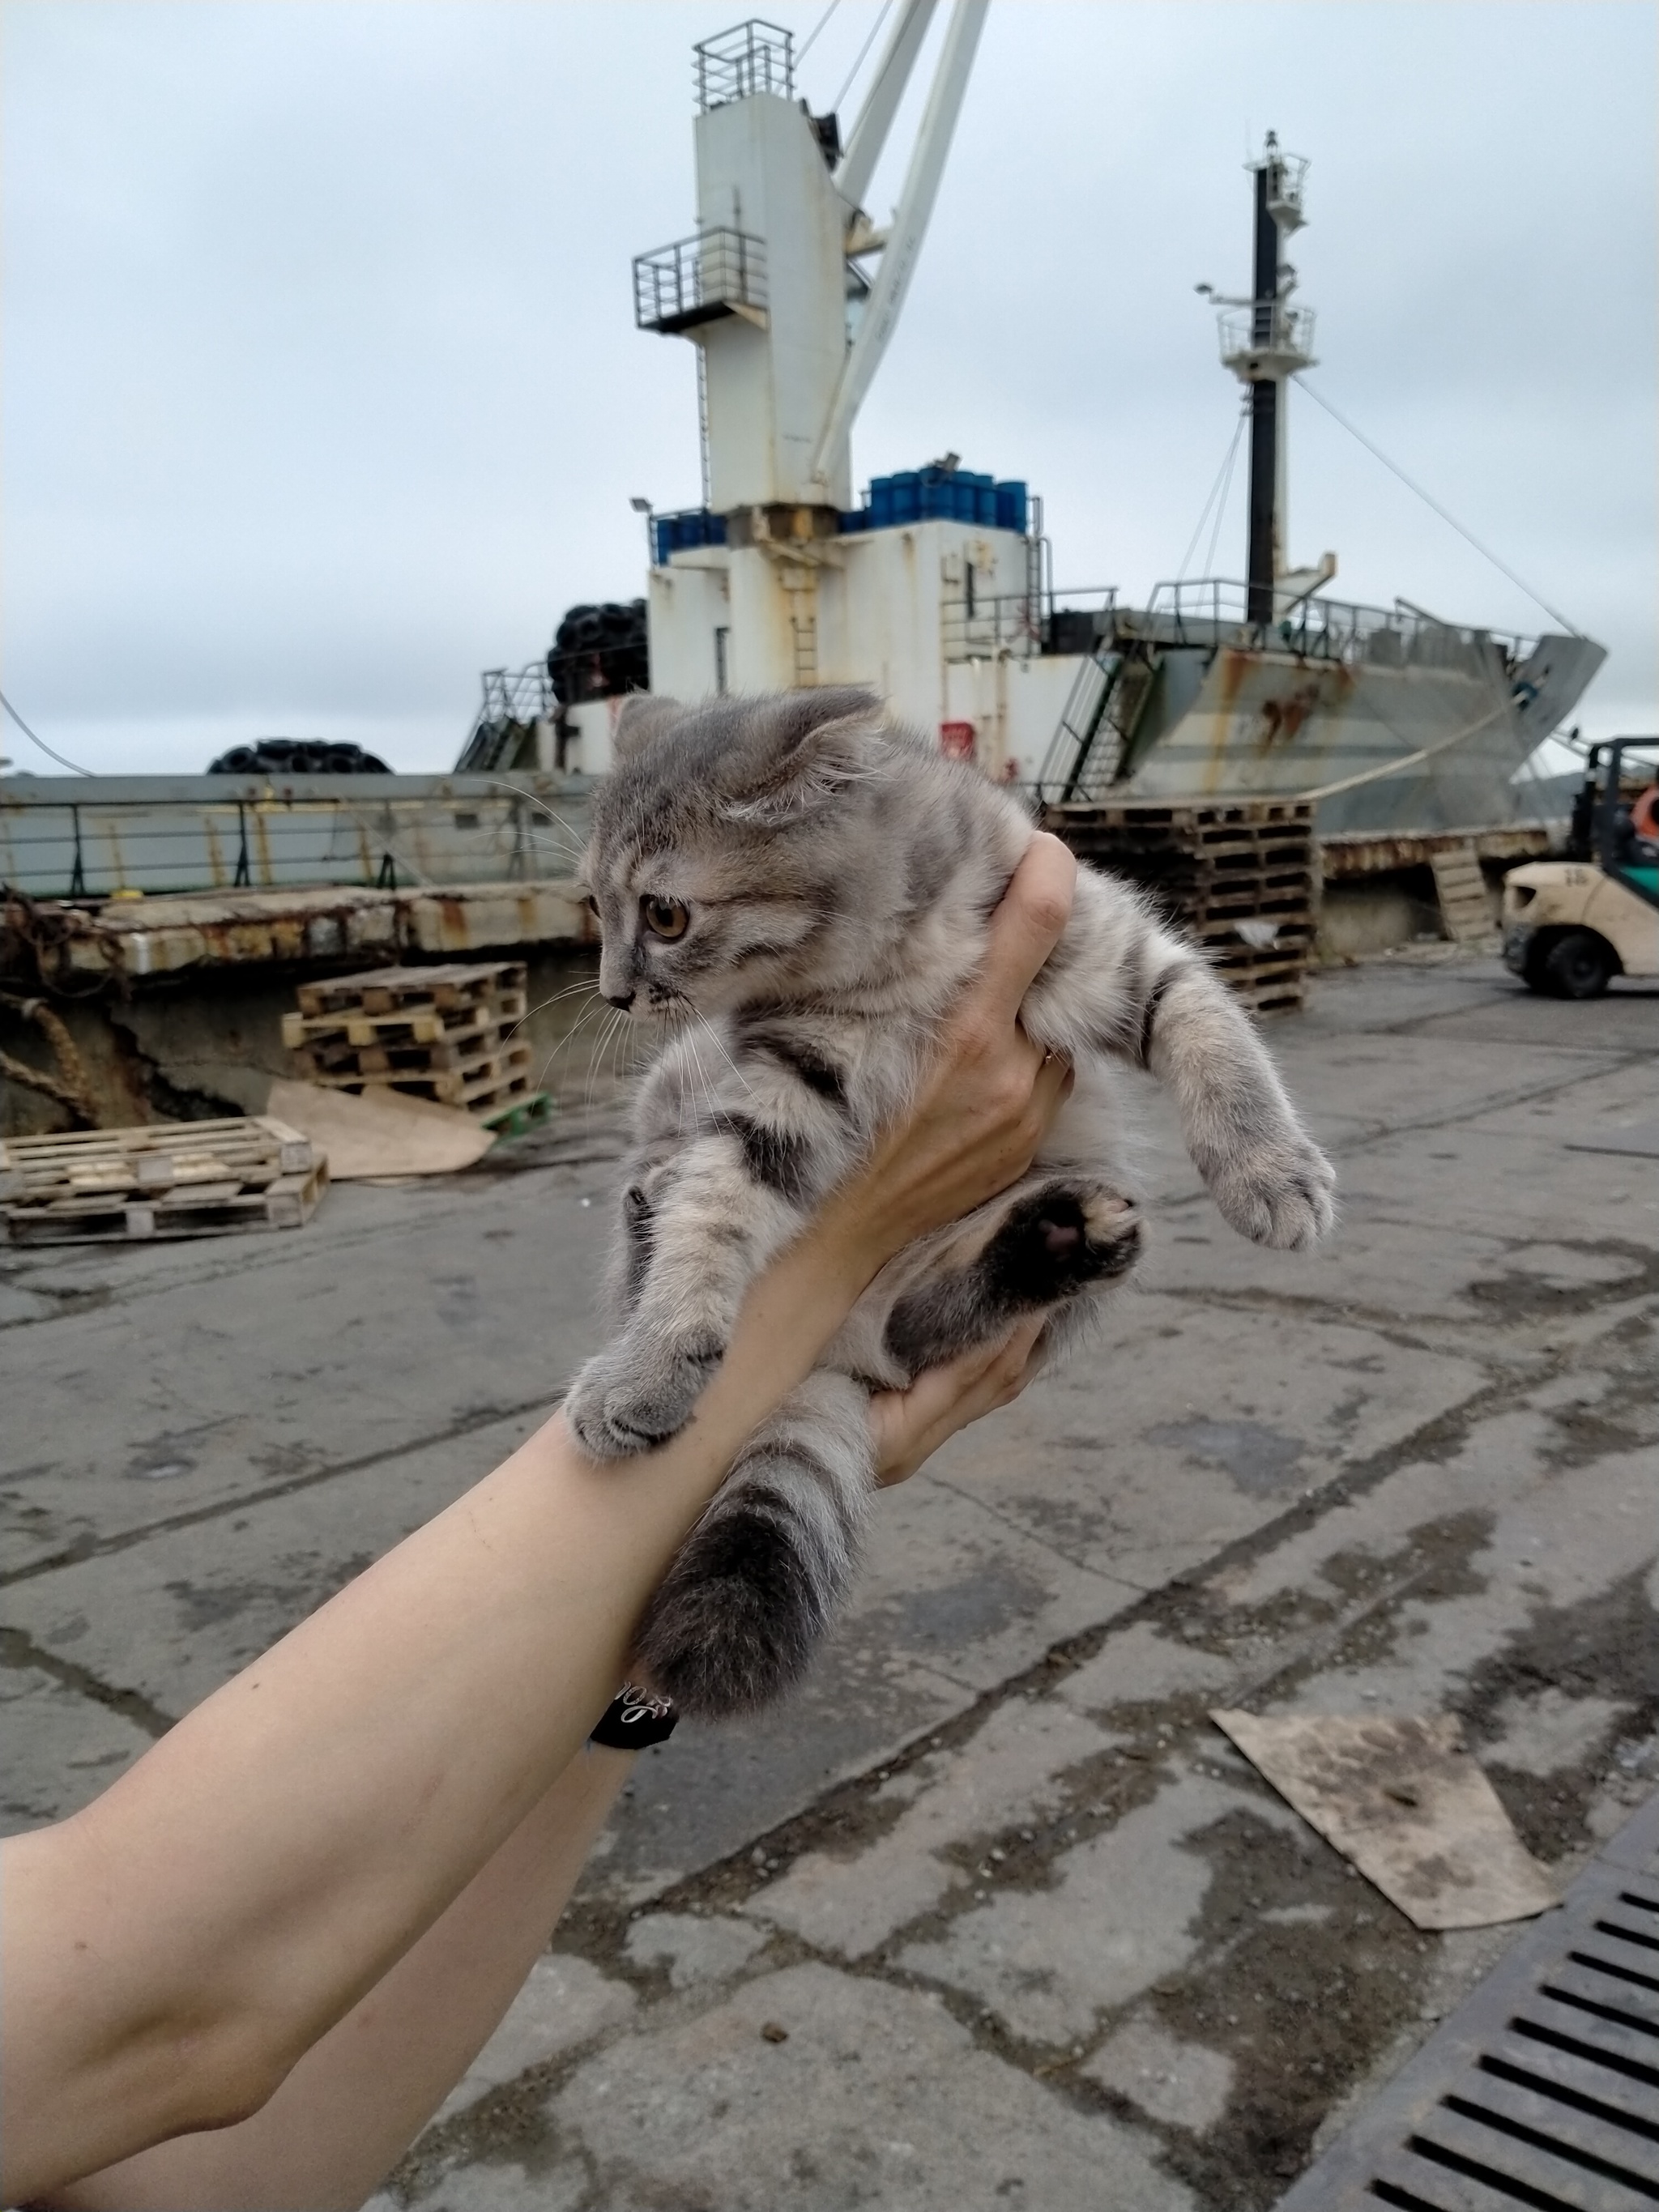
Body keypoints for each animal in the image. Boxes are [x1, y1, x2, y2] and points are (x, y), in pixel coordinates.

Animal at [570, 681, 1336, 1716]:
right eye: (595, 905)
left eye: (662, 914)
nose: (613, 991)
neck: (898, 966)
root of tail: (836, 1352)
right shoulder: (783, 1083)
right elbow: (714, 1204)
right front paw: (651, 1358)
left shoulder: (1113, 950)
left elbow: (1212, 1032)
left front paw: (1268, 1169)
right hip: (674, 1087)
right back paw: (646, 1214)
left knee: (927, 1323)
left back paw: (1057, 1242)